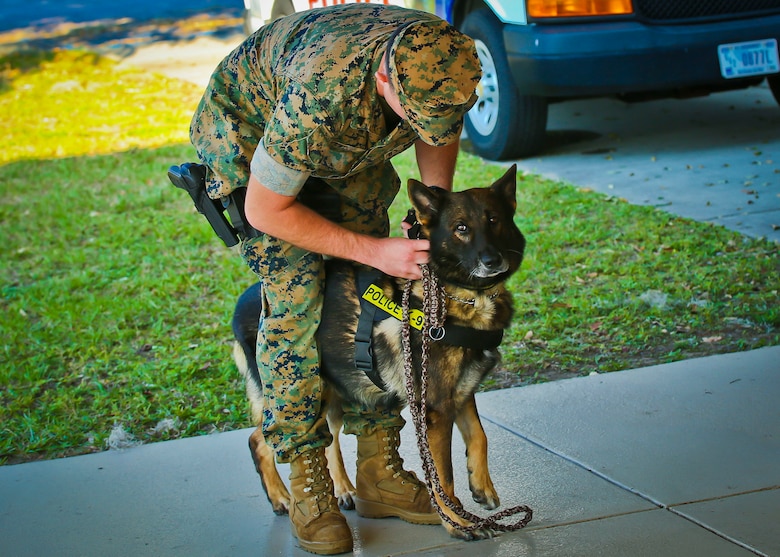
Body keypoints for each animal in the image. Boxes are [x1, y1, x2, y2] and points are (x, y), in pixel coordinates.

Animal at [232, 164, 524, 540]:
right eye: (461, 228)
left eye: (494, 220)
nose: (492, 260)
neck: (459, 294)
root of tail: (245, 300)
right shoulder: (435, 409)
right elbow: (443, 476)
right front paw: (456, 522)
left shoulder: (459, 393)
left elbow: (479, 436)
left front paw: (482, 487)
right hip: (302, 392)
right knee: (262, 439)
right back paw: (283, 497)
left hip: (338, 389)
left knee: (328, 437)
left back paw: (344, 489)